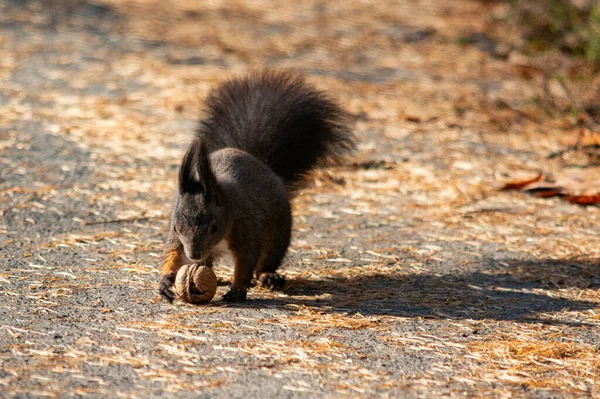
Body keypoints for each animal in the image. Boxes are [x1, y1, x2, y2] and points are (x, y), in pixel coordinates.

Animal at [159, 72, 356, 304]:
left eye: (214, 227)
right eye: (176, 228)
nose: (193, 255)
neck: (227, 204)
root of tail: (259, 163)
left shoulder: (246, 229)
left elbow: (246, 261)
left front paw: (238, 288)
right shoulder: (177, 236)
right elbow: (173, 253)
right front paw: (166, 279)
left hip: (278, 233)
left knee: (266, 259)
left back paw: (268, 276)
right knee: (208, 262)